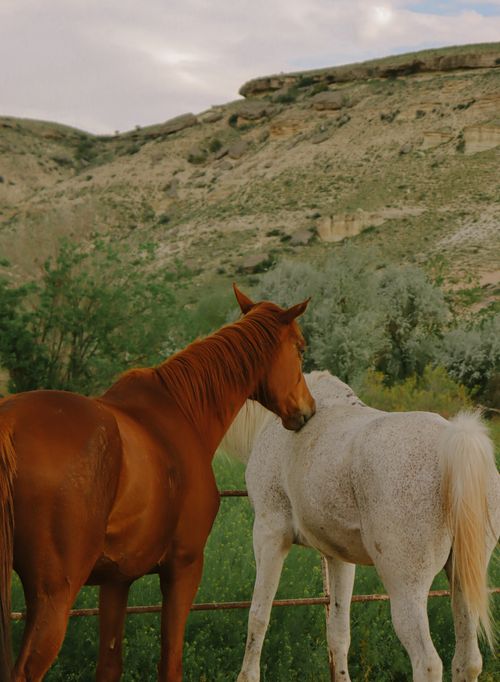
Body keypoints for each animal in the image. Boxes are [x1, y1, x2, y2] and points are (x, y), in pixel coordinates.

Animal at [0, 285, 316, 682]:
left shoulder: (115, 581)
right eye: (300, 348)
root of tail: (10, 425)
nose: (308, 410)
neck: (181, 412)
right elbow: (170, 662)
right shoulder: (183, 568)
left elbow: (109, 665)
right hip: (53, 597)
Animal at [220, 370, 500, 682]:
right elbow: (338, 634)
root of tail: (453, 443)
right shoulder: (338, 557)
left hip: (407, 586)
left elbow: (258, 615)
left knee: (428, 663)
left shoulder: (269, 534)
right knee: (467, 661)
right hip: (463, 579)